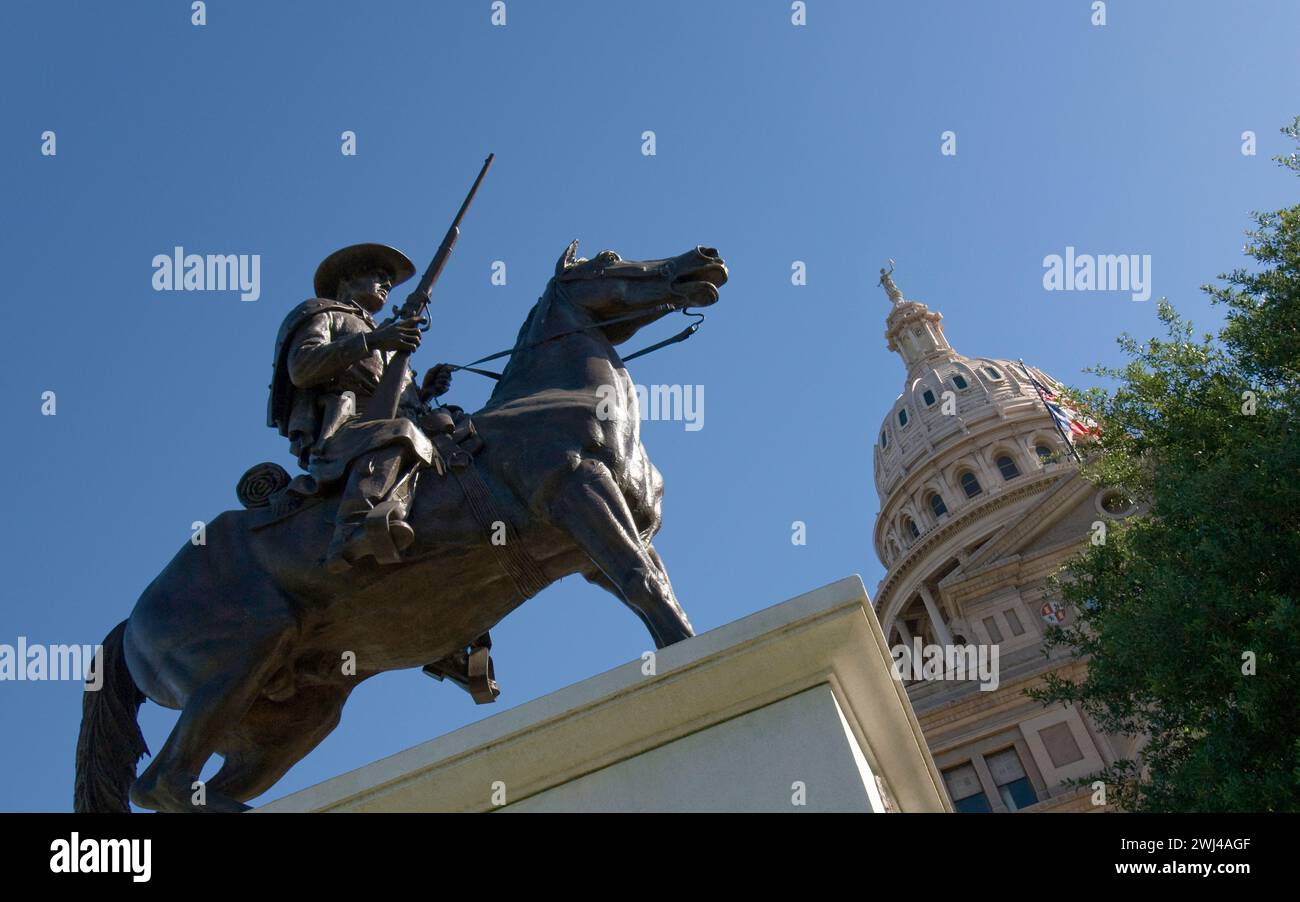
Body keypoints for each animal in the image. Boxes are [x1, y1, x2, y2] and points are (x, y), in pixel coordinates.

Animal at [76, 244, 728, 816]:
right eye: (610, 258)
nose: (704, 258)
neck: (556, 396)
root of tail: (131, 622)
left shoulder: (600, 542)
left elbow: (658, 592)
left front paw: (684, 646)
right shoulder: (579, 494)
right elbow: (643, 582)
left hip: (292, 715)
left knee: (191, 783)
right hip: (236, 668)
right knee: (160, 784)